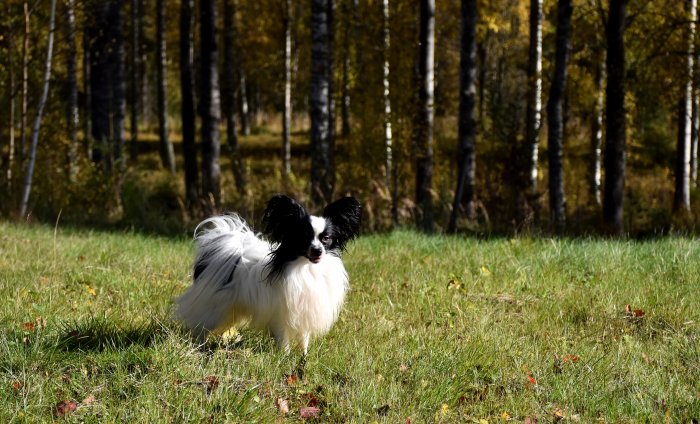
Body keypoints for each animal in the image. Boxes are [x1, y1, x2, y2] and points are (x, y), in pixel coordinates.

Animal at [175, 194, 360, 352]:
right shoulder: (281, 315)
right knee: (201, 326)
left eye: (326, 239)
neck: (306, 267)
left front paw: (303, 357)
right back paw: (200, 346)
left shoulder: (305, 311)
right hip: (216, 307)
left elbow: (303, 339)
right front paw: (285, 357)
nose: (317, 250)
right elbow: (284, 340)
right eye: (303, 237)